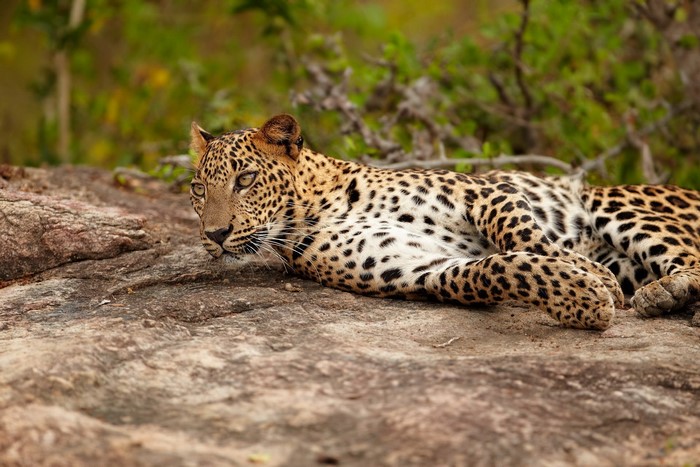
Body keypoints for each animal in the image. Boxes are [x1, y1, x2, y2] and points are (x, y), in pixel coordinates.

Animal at [189, 114, 700, 330]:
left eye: (246, 179)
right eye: (198, 190)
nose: (215, 235)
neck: (320, 203)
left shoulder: (482, 193)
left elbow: (526, 235)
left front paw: (592, 276)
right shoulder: (421, 270)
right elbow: (499, 267)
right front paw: (581, 298)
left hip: (610, 204)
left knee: (687, 254)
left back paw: (660, 292)